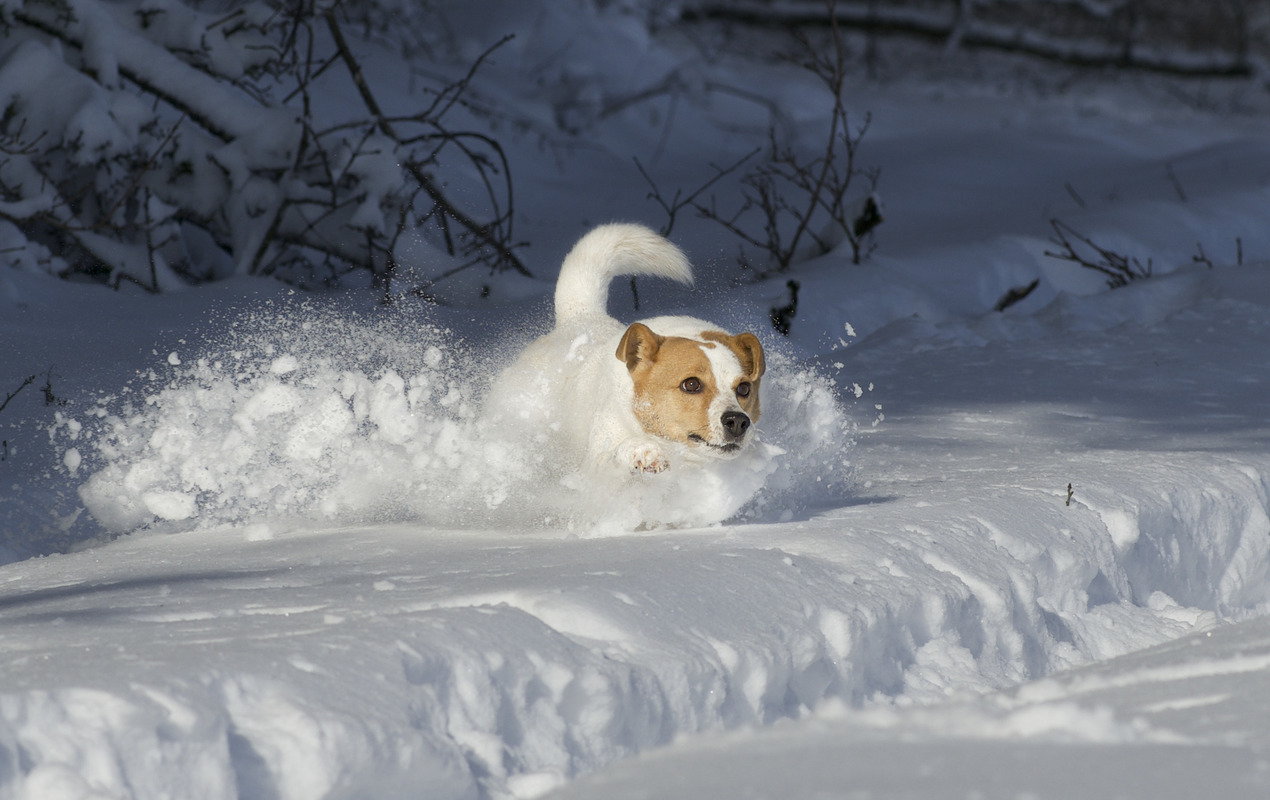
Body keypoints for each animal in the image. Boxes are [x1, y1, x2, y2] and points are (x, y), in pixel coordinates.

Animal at [490, 222, 767, 477]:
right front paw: (642, 452)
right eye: (691, 384)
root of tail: (579, 315)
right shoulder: (593, 470)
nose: (737, 421)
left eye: (744, 388)